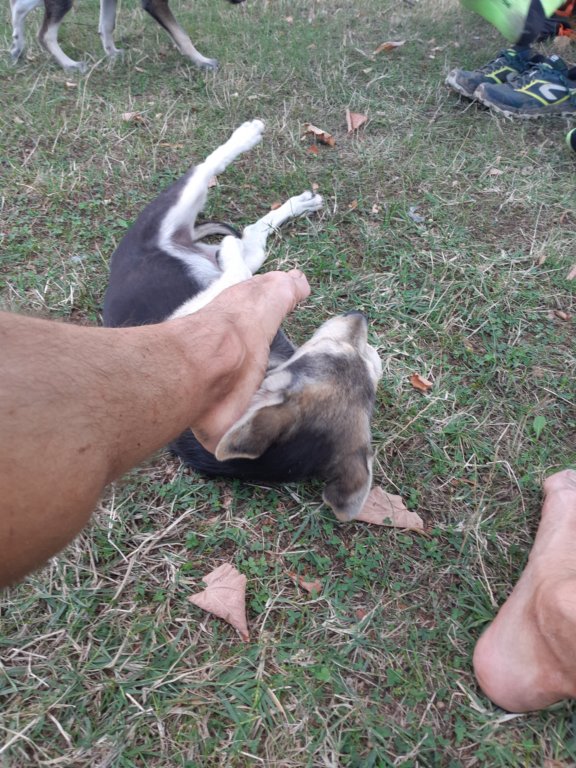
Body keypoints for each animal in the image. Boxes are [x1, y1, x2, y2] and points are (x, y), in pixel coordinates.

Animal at [10, 0, 243, 72]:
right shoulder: (154, 2)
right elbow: (182, 36)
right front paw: (202, 61)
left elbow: (107, 24)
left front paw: (112, 53)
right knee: (45, 34)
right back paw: (70, 64)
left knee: (18, 7)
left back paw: (16, 47)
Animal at [102, 120, 382, 522]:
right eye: (338, 347)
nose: (359, 316)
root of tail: (185, 243)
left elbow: (238, 271)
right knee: (218, 185)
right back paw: (263, 157)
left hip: (194, 226)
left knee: (232, 211)